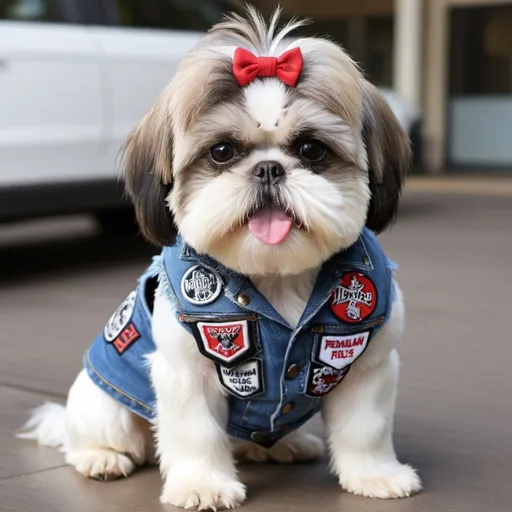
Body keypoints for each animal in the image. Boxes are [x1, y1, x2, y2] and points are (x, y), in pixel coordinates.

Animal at [20, 7, 420, 508]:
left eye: (311, 149)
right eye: (222, 152)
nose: (268, 169)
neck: (276, 278)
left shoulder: (369, 366)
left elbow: (366, 428)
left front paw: (375, 475)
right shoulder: (186, 373)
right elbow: (197, 433)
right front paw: (202, 485)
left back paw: (283, 444)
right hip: (105, 404)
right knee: (100, 435)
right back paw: (102, 457)